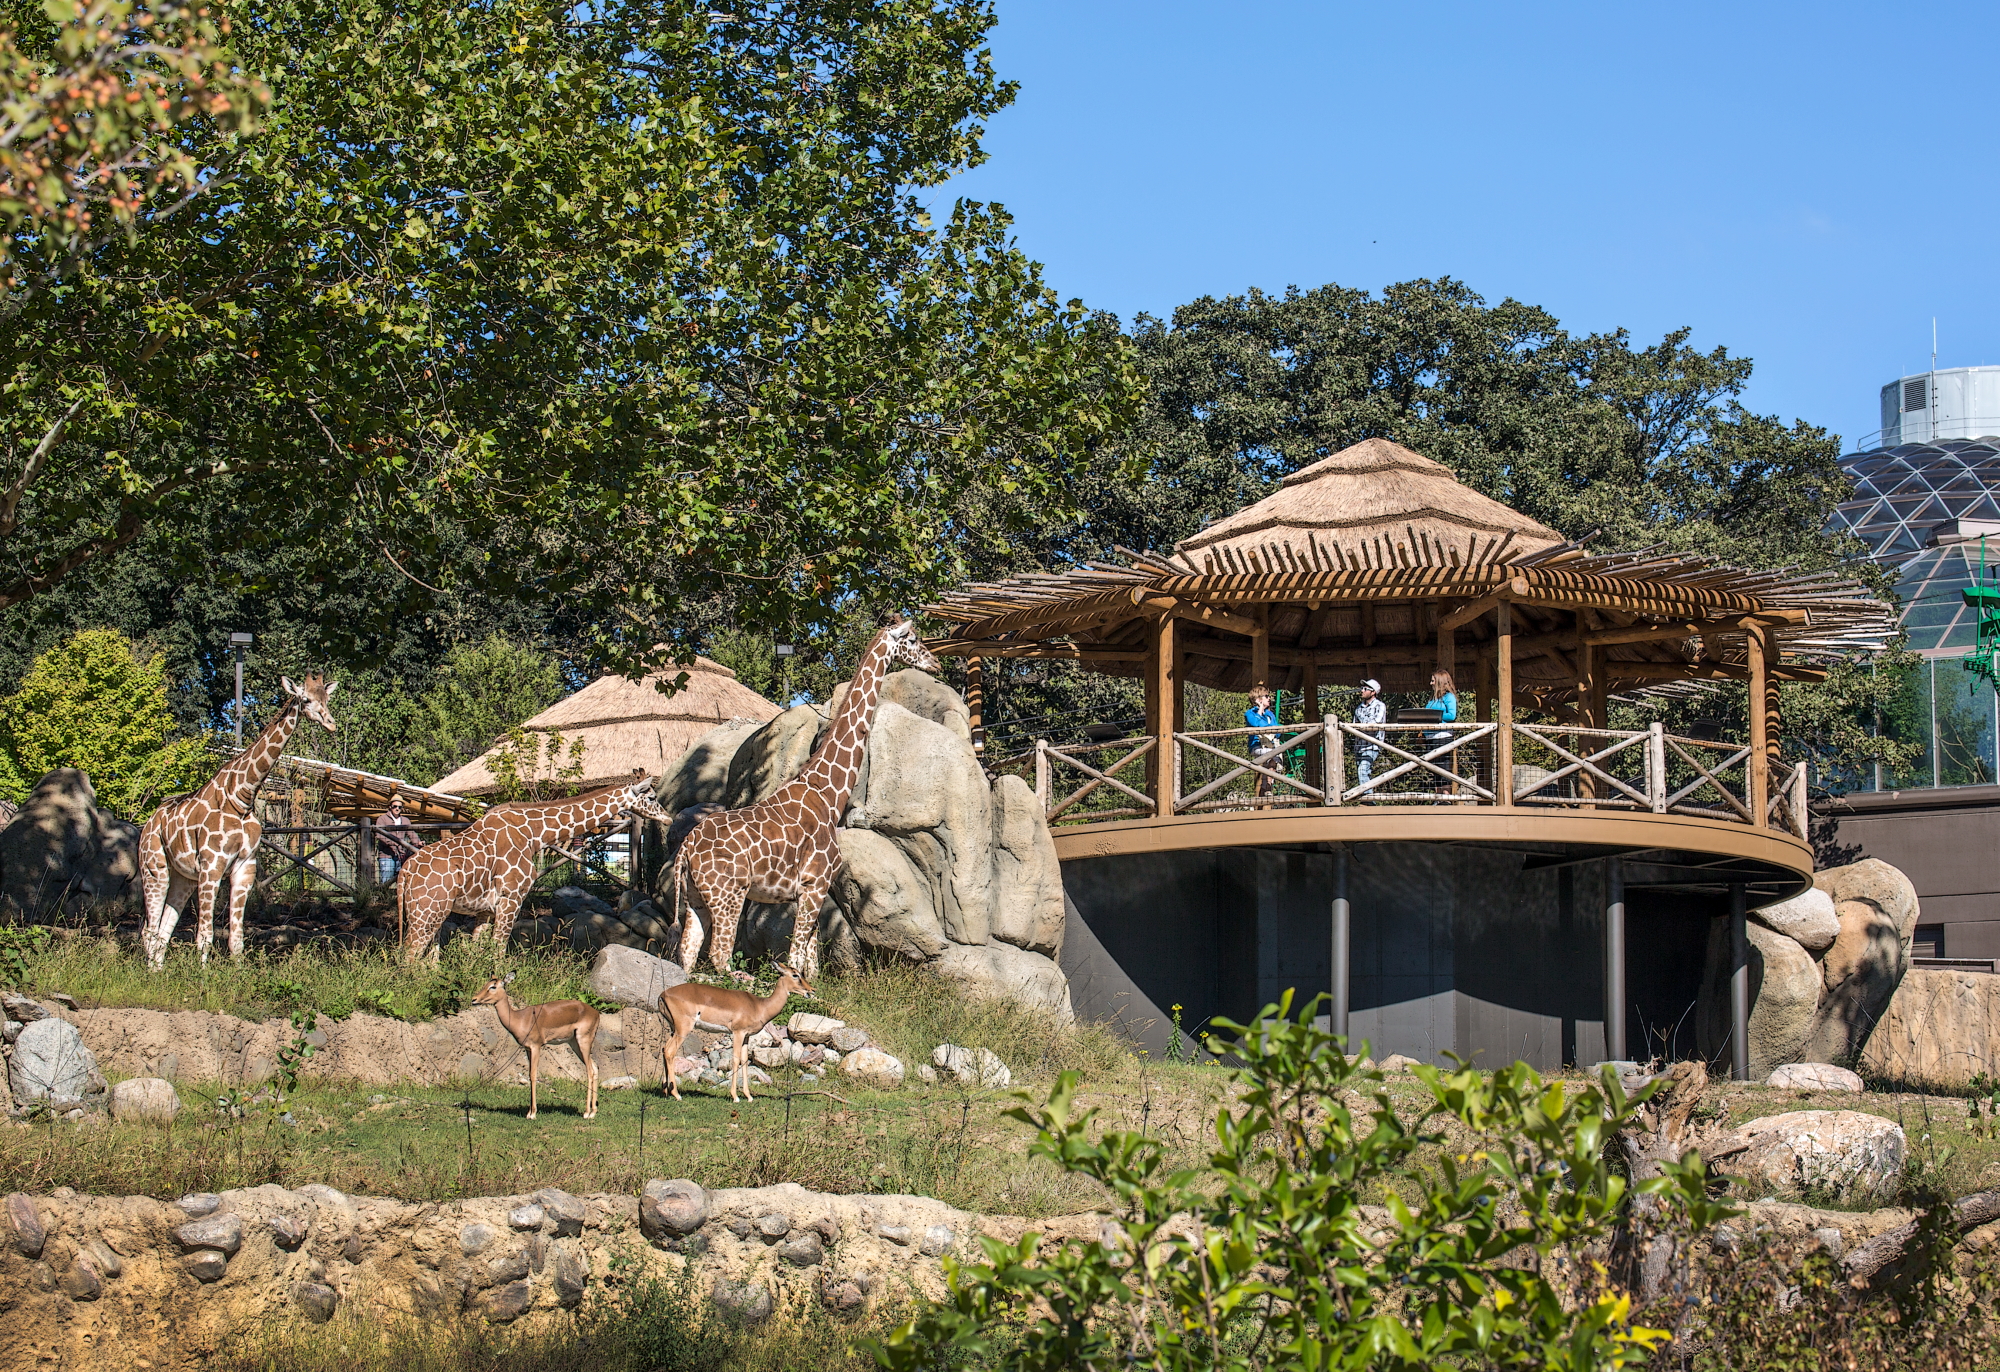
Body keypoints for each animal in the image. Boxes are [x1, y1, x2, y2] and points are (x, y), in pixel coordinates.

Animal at [139, 676, 338, 968]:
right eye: (306, 699)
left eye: (326, 698)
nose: (331, 723)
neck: (241, 797)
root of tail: (148, 823)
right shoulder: (211, 866)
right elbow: (205, 935)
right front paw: (203, 976)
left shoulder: (245, 867)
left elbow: (236, 939)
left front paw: (236, 972)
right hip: (154, 869)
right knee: (149, 928)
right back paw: (152, 972)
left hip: (183, 877)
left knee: (164, 928)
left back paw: (158, 971)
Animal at [398, 780, 672, 964]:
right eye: (651, 797)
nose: (668, 819)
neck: (534, 834)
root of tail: (404, 873)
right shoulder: (512, 896)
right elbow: (498, 950)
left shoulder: (485, 909)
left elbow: (478, 951)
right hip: (426, 913)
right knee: (408, 958)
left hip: (432, 914)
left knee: (425, 960)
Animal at [672, 620, 936, 984]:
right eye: (912, 639)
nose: (935, 663)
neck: (829, 793)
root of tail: (685, 848)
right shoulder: (815, 883)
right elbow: (796, 959)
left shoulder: (810, 891)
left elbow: (810, 962)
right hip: (729, 894)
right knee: (720, 958)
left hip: (696, 898)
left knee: (686, 956)